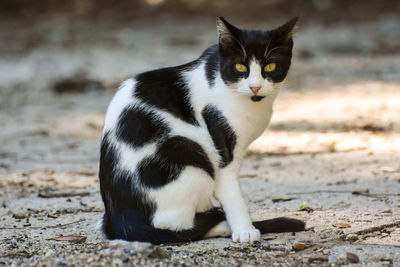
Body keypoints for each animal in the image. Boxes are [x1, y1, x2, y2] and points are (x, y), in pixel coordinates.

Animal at [99, 15, 304, 245]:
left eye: (270, 66)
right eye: (240, 67)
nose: (255, 86)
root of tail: (121, 221)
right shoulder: (221, 142)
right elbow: (231, 191)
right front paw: (244, 230)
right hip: (186, 154)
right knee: (175, 226)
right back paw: (221, 224)